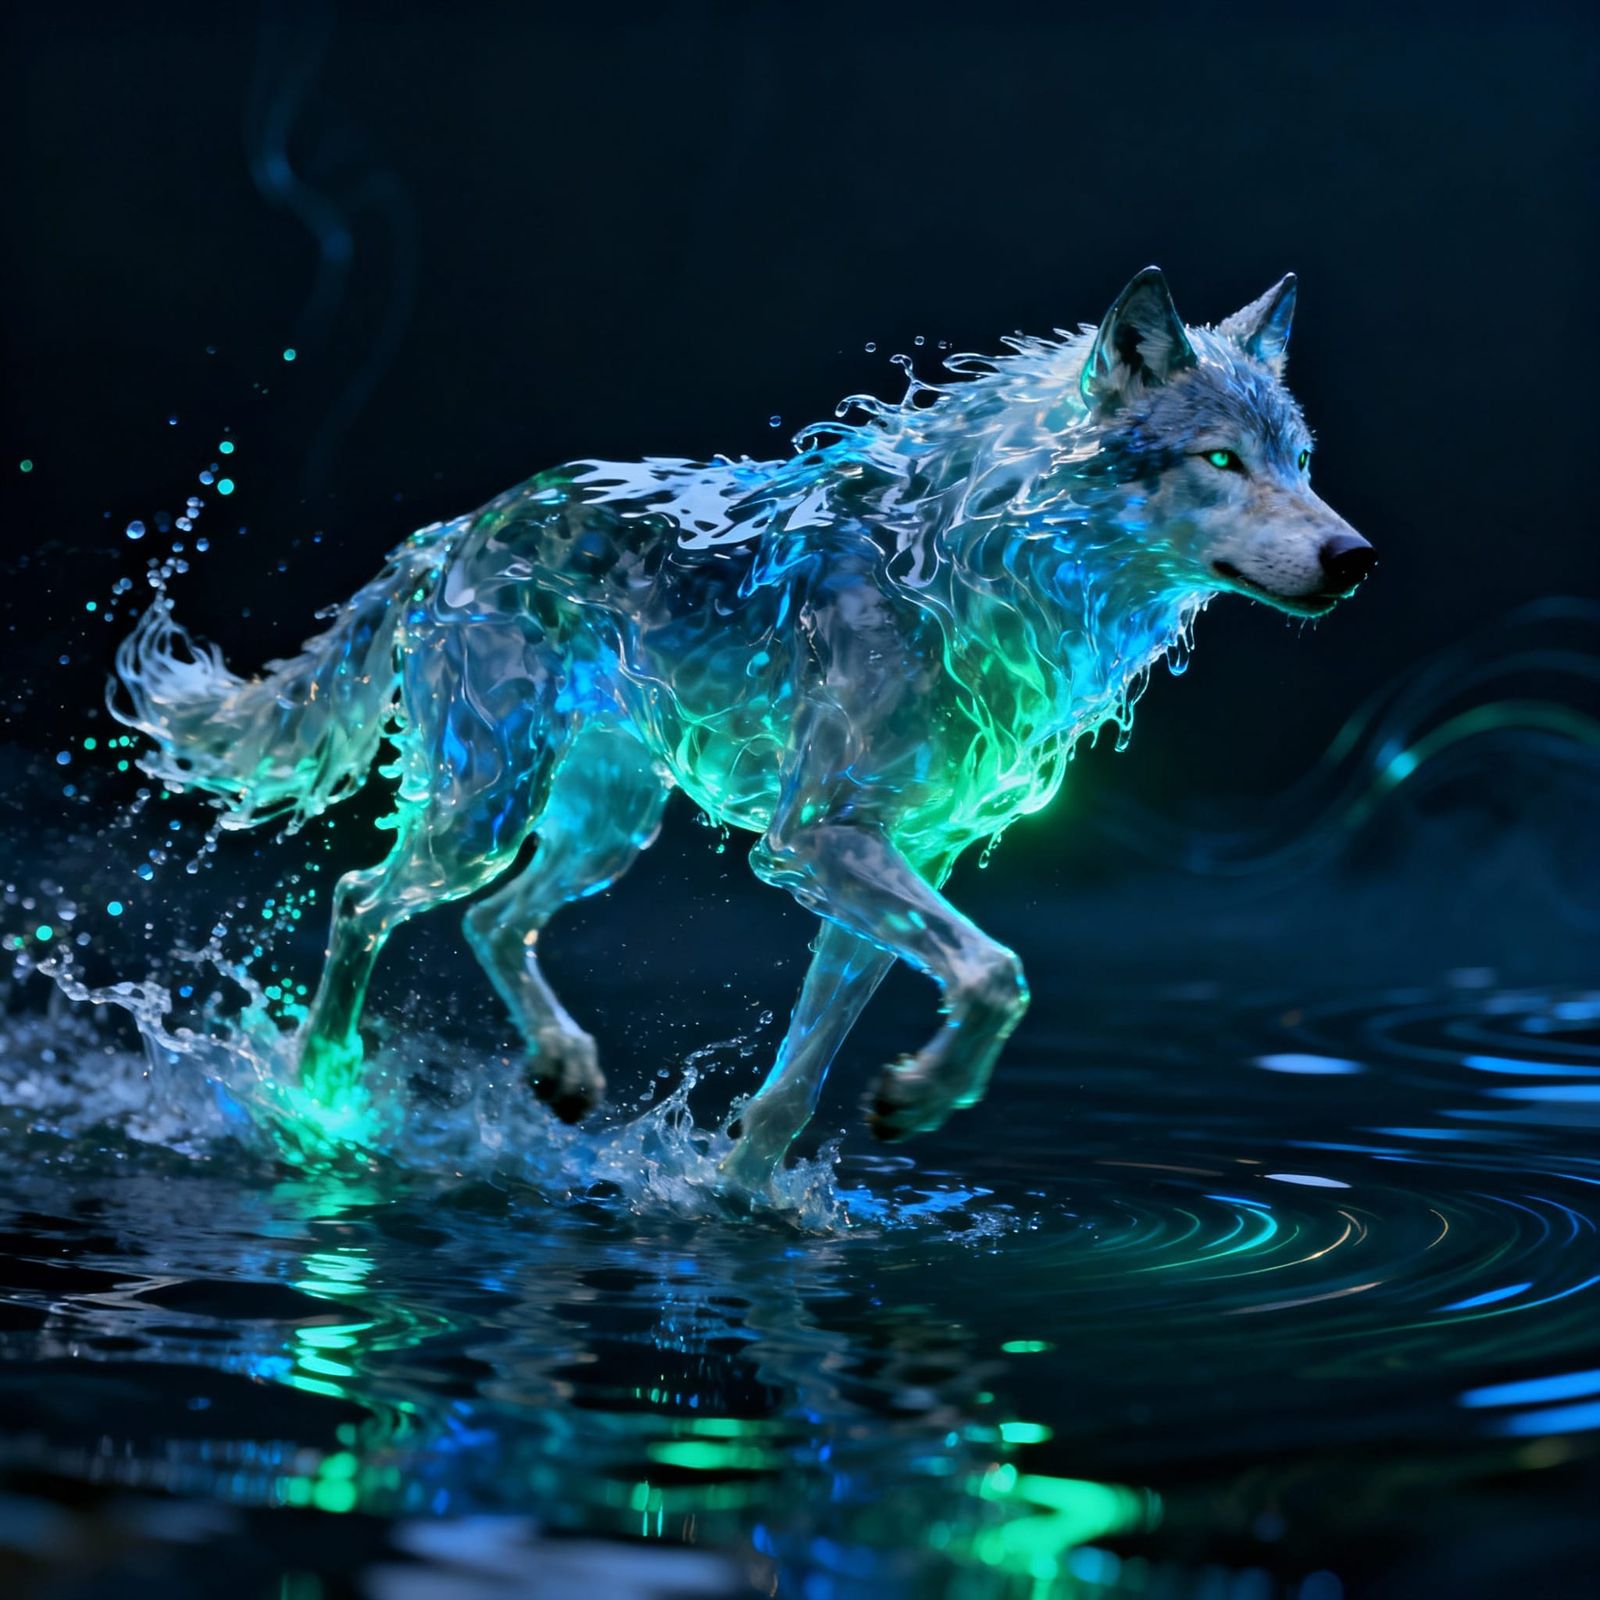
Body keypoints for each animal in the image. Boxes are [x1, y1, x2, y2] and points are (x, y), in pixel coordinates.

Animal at [114, 268, 1373, 1183]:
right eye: (1222, 459)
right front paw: (920, 1097)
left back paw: (562, 1069)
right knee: (360, 898)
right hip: (485, 808)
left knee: (491, 921)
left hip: (603, 828)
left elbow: (795, 1086)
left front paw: (745, 1204)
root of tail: (461, 525)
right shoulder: (814, 840)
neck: (974, 570)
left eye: (1301, 462)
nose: (1353, 557)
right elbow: (999, 974)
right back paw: (318, 1097)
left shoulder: (899, 864)